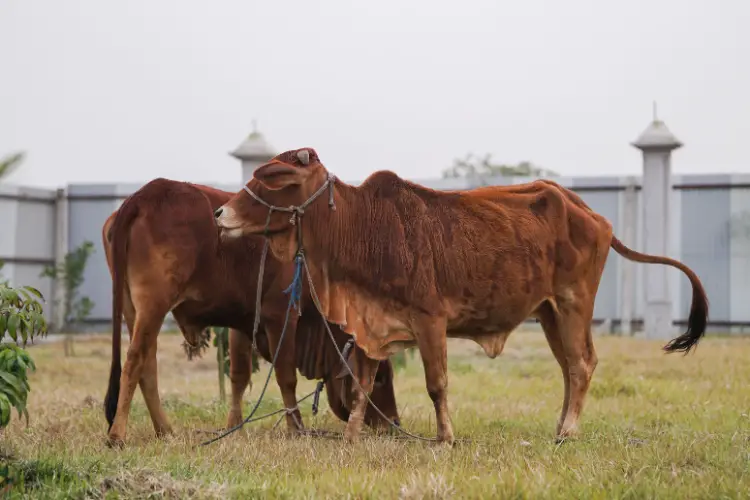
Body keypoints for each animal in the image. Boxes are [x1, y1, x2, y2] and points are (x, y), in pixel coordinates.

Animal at [103, 178, 402, 448]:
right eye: (382, 379)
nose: (394, 425)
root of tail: (142, 196)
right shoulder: (282, 316)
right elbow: (286, 376)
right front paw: (296, 427)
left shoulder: (244, 323)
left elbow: (239, 376)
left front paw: (233, 426)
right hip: (153, 306)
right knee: (134, 362)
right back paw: (117, 435)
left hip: (134, 309)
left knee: (147, 366)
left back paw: (164, 430)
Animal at [213, 147, 712, 446]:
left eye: (273, 178)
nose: (220, 213)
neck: (362, 227)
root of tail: (587, 211)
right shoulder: (372, 322)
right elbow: (362, 385)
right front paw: (353, 436)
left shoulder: (430, 320)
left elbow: (437, 384)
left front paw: (445, 437)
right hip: (550, 312)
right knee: (569, 368)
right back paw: (559, 427)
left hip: (574, 303)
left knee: (583, 364)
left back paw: (568, 431)